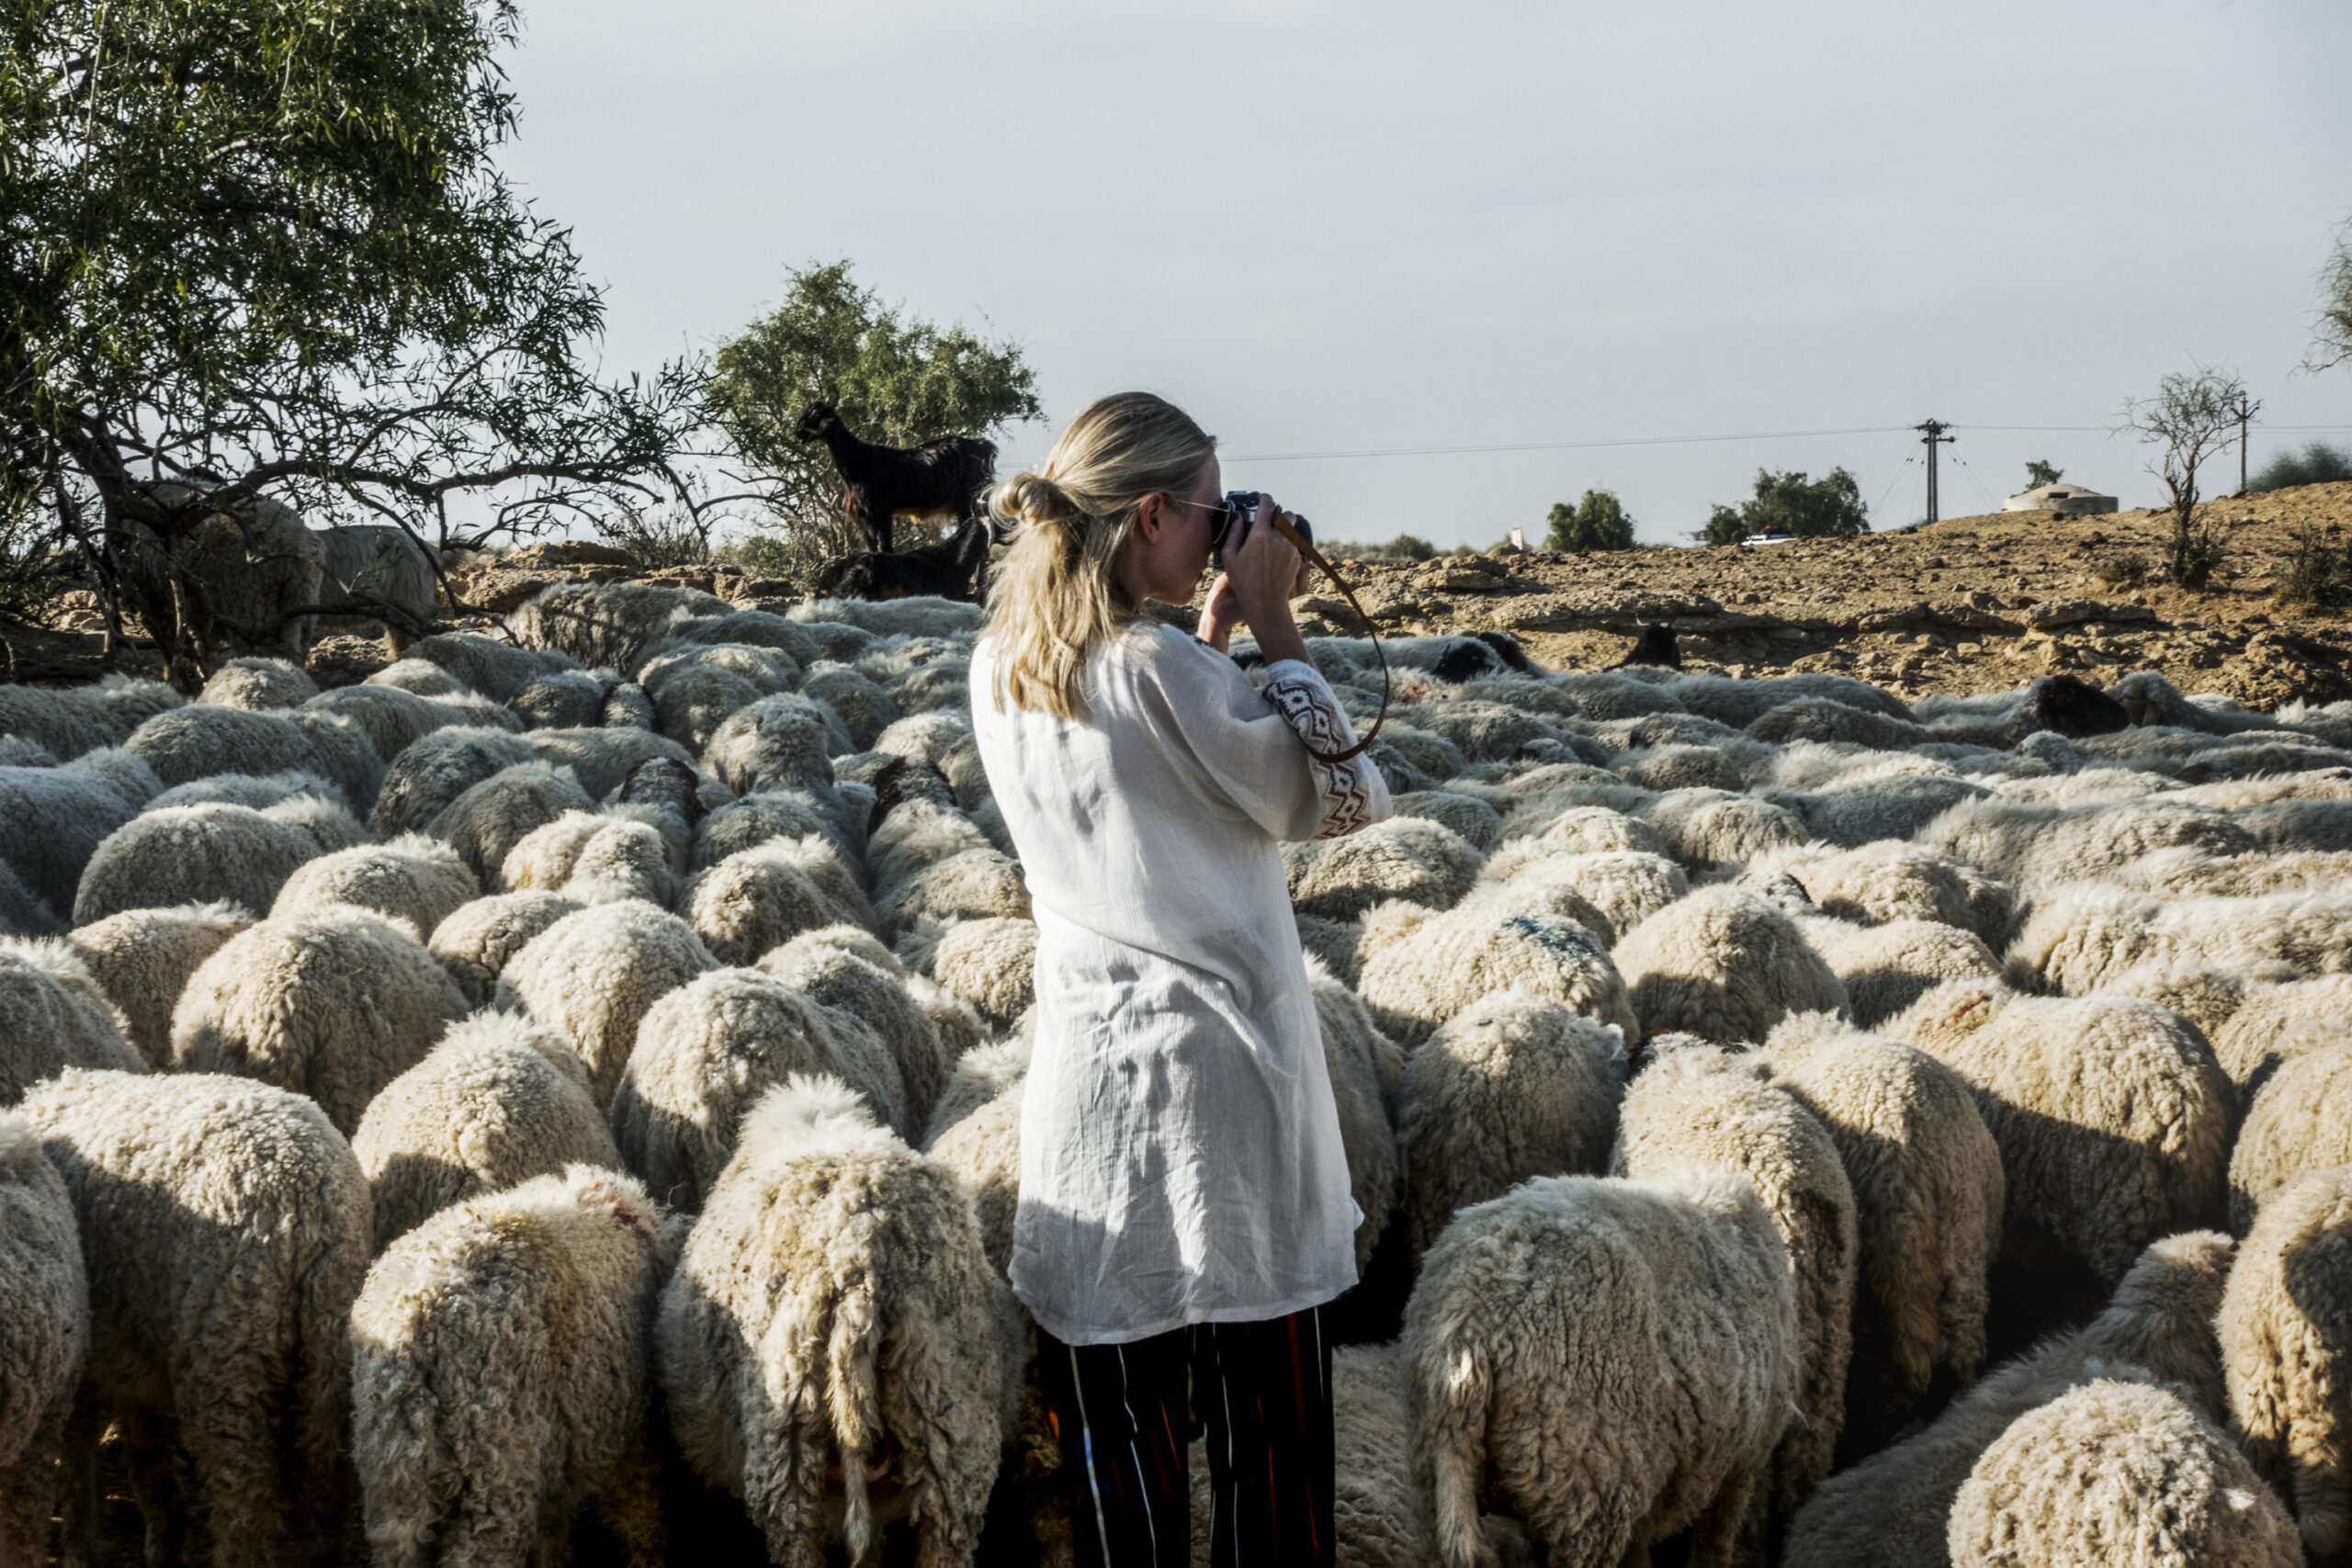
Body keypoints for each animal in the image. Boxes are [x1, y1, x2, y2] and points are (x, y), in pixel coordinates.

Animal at [804, 401, 997, 554]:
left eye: (815, 414)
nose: (799, 433)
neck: (858, 460)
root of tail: (986, 447)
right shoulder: (863, 517)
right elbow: (871, 549)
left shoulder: (880, 512)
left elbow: (885, 548)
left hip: (971, 501)